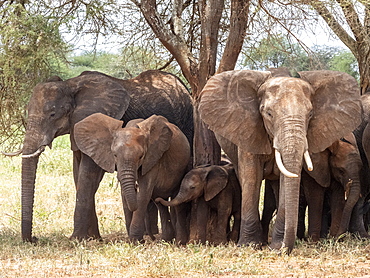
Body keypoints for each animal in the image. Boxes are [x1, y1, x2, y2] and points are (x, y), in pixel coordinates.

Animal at [17, 70, 192, 242]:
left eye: (53, 114)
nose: (33, 239)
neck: (71, 84)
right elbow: (79, 174)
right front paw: (93, 238)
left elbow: (87, 175)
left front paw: (77, 239)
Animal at [199, 69, 362, 252]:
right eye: (269, 114)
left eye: (310, 114)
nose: (284, 249)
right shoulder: (248, 130)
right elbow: (251, 176)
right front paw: (249, 245)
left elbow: (286, 178)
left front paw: (276, 246)